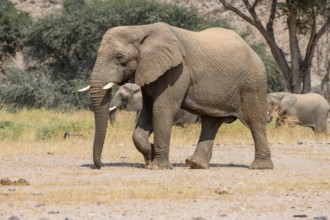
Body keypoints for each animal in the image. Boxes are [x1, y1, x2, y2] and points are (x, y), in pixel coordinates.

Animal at [82, 21, 274, 170]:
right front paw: (150, 155)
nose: (100, 166)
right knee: (211, 122)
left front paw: (157, 166)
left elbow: (162, 108)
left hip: (252, 82)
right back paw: (195, 164)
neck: (140, 29)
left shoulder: (178, 71)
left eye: (119, 57)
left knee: (254, 121)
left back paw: (260, 167)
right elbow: (148, 110)